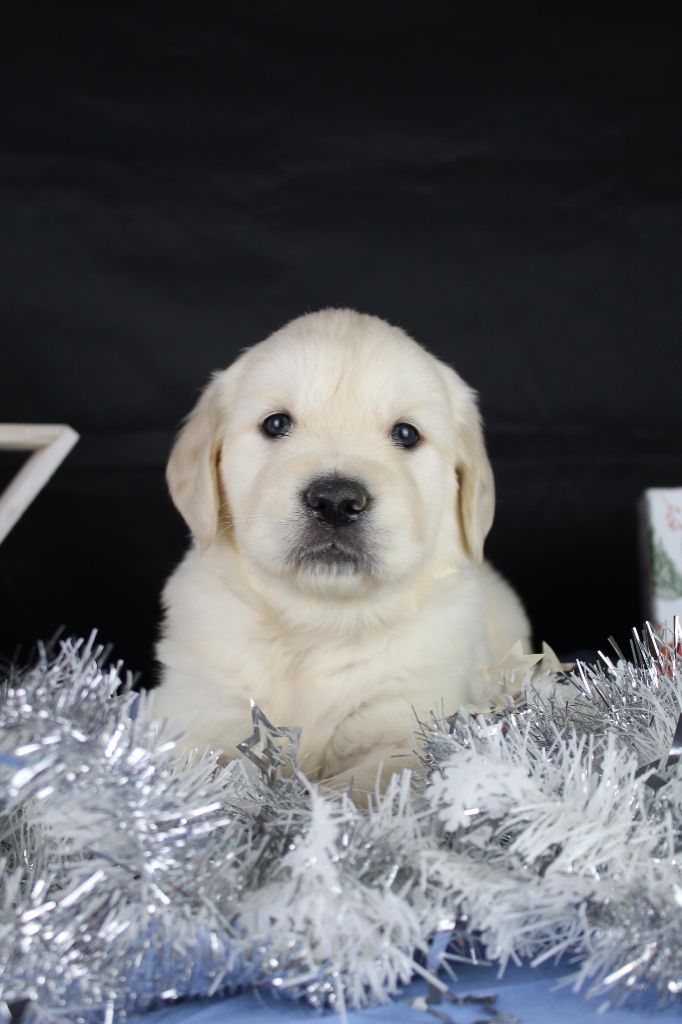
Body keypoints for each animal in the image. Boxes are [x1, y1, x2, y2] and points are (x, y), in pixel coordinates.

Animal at [151, 307, 528, 794]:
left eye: (406, 433)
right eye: (276, 424)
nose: (335, 501)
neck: (318, 625)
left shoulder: (407, 722)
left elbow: (360, 788)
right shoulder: (196, 706)